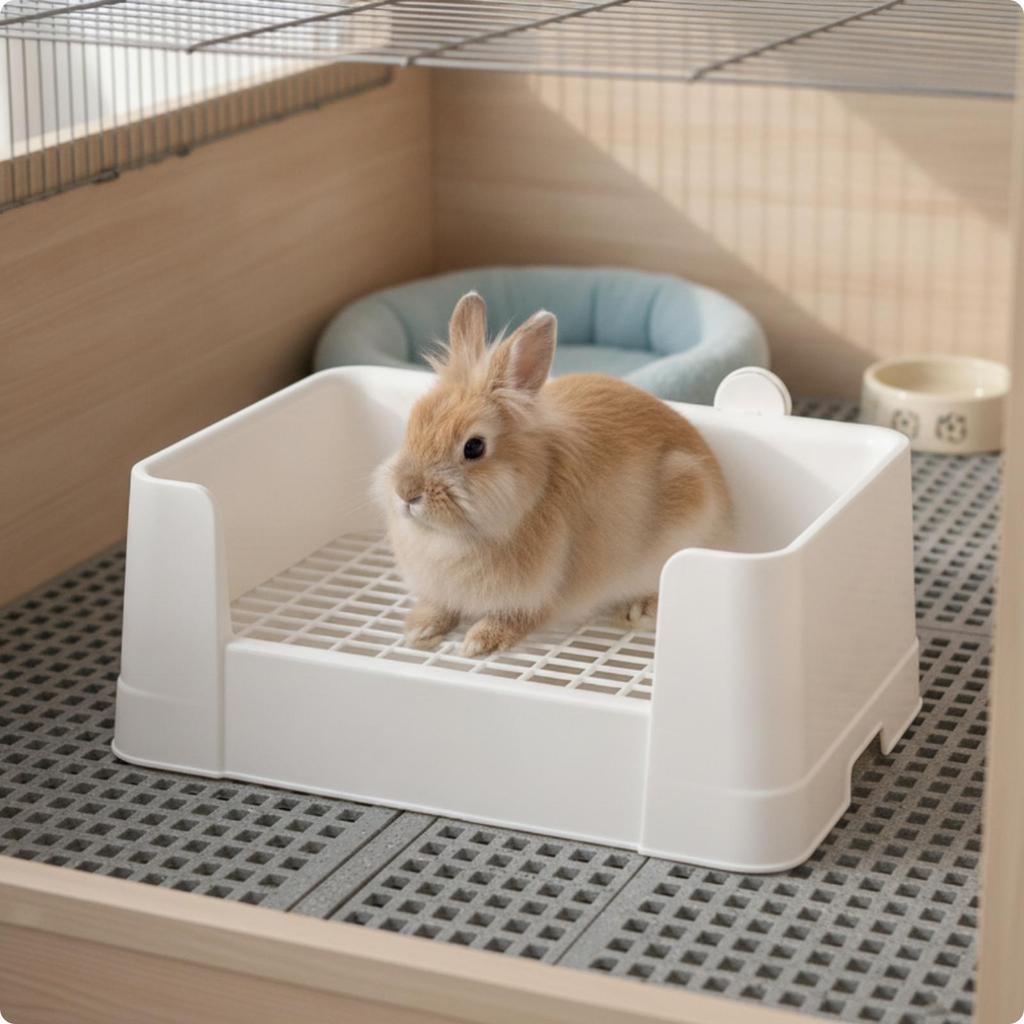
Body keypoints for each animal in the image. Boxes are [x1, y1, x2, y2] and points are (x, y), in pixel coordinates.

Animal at [374, 291, 733, 658]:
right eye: (412, 424)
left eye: (474, 447)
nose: (406, 492)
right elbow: (441, 606)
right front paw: (420, 629)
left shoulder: (540, 595)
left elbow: (519, 617)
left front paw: (480, 642)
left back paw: (639, 610)